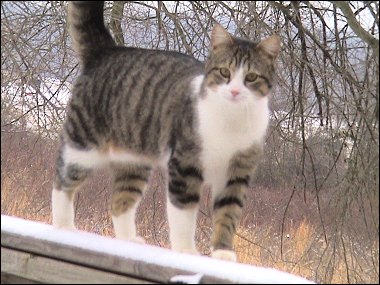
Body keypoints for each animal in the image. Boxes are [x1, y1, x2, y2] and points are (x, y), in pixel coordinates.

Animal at [52, 1, 280, 260]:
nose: (234, 91)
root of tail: (107, 51)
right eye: (224, 72)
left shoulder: (237, 173)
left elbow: (228, 214)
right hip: (83, 145)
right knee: (62, 181)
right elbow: (184, 212)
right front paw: (186, 250)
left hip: (134, 162)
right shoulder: (185, 165)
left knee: (120, 201)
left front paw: (222, 252)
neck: (232, 120)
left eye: (251, 77)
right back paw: (63, 227)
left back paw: (128, 241)